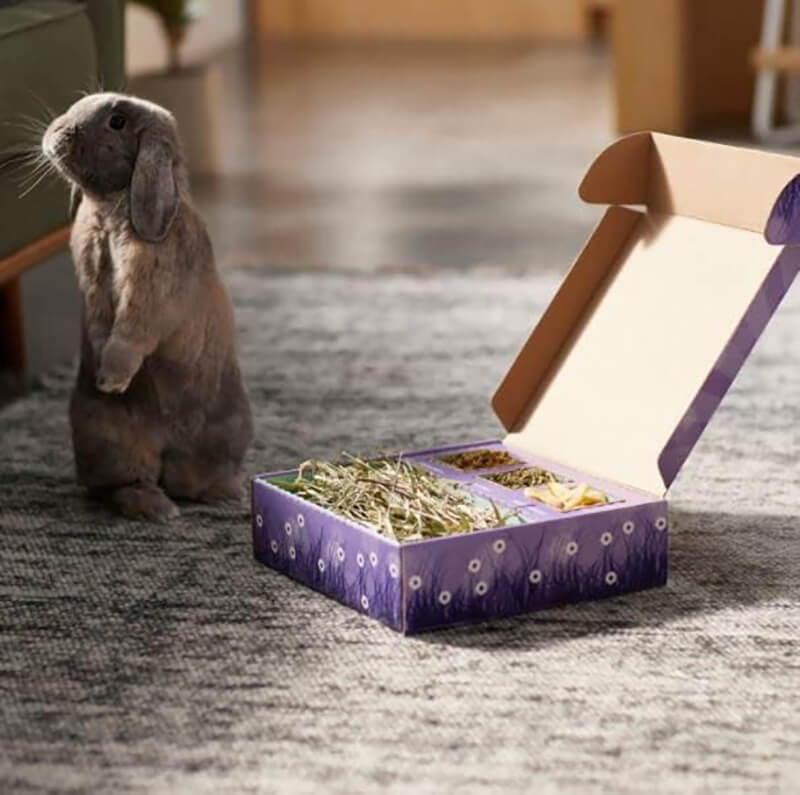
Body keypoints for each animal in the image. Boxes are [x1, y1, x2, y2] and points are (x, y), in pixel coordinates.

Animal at [41, 93, 253, 522]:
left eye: (117, 122)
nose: (55, 133)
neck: (111, 207)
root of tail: (166, 445)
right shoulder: (94, 284)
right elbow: (102, 322)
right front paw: (107, 378)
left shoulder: (148, 290)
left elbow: (131, 331)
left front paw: (111, 380)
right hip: (106, 439)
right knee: (129, 483)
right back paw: (159, 509)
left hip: (228, 432)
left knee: (192, 481)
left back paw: (224, 495)